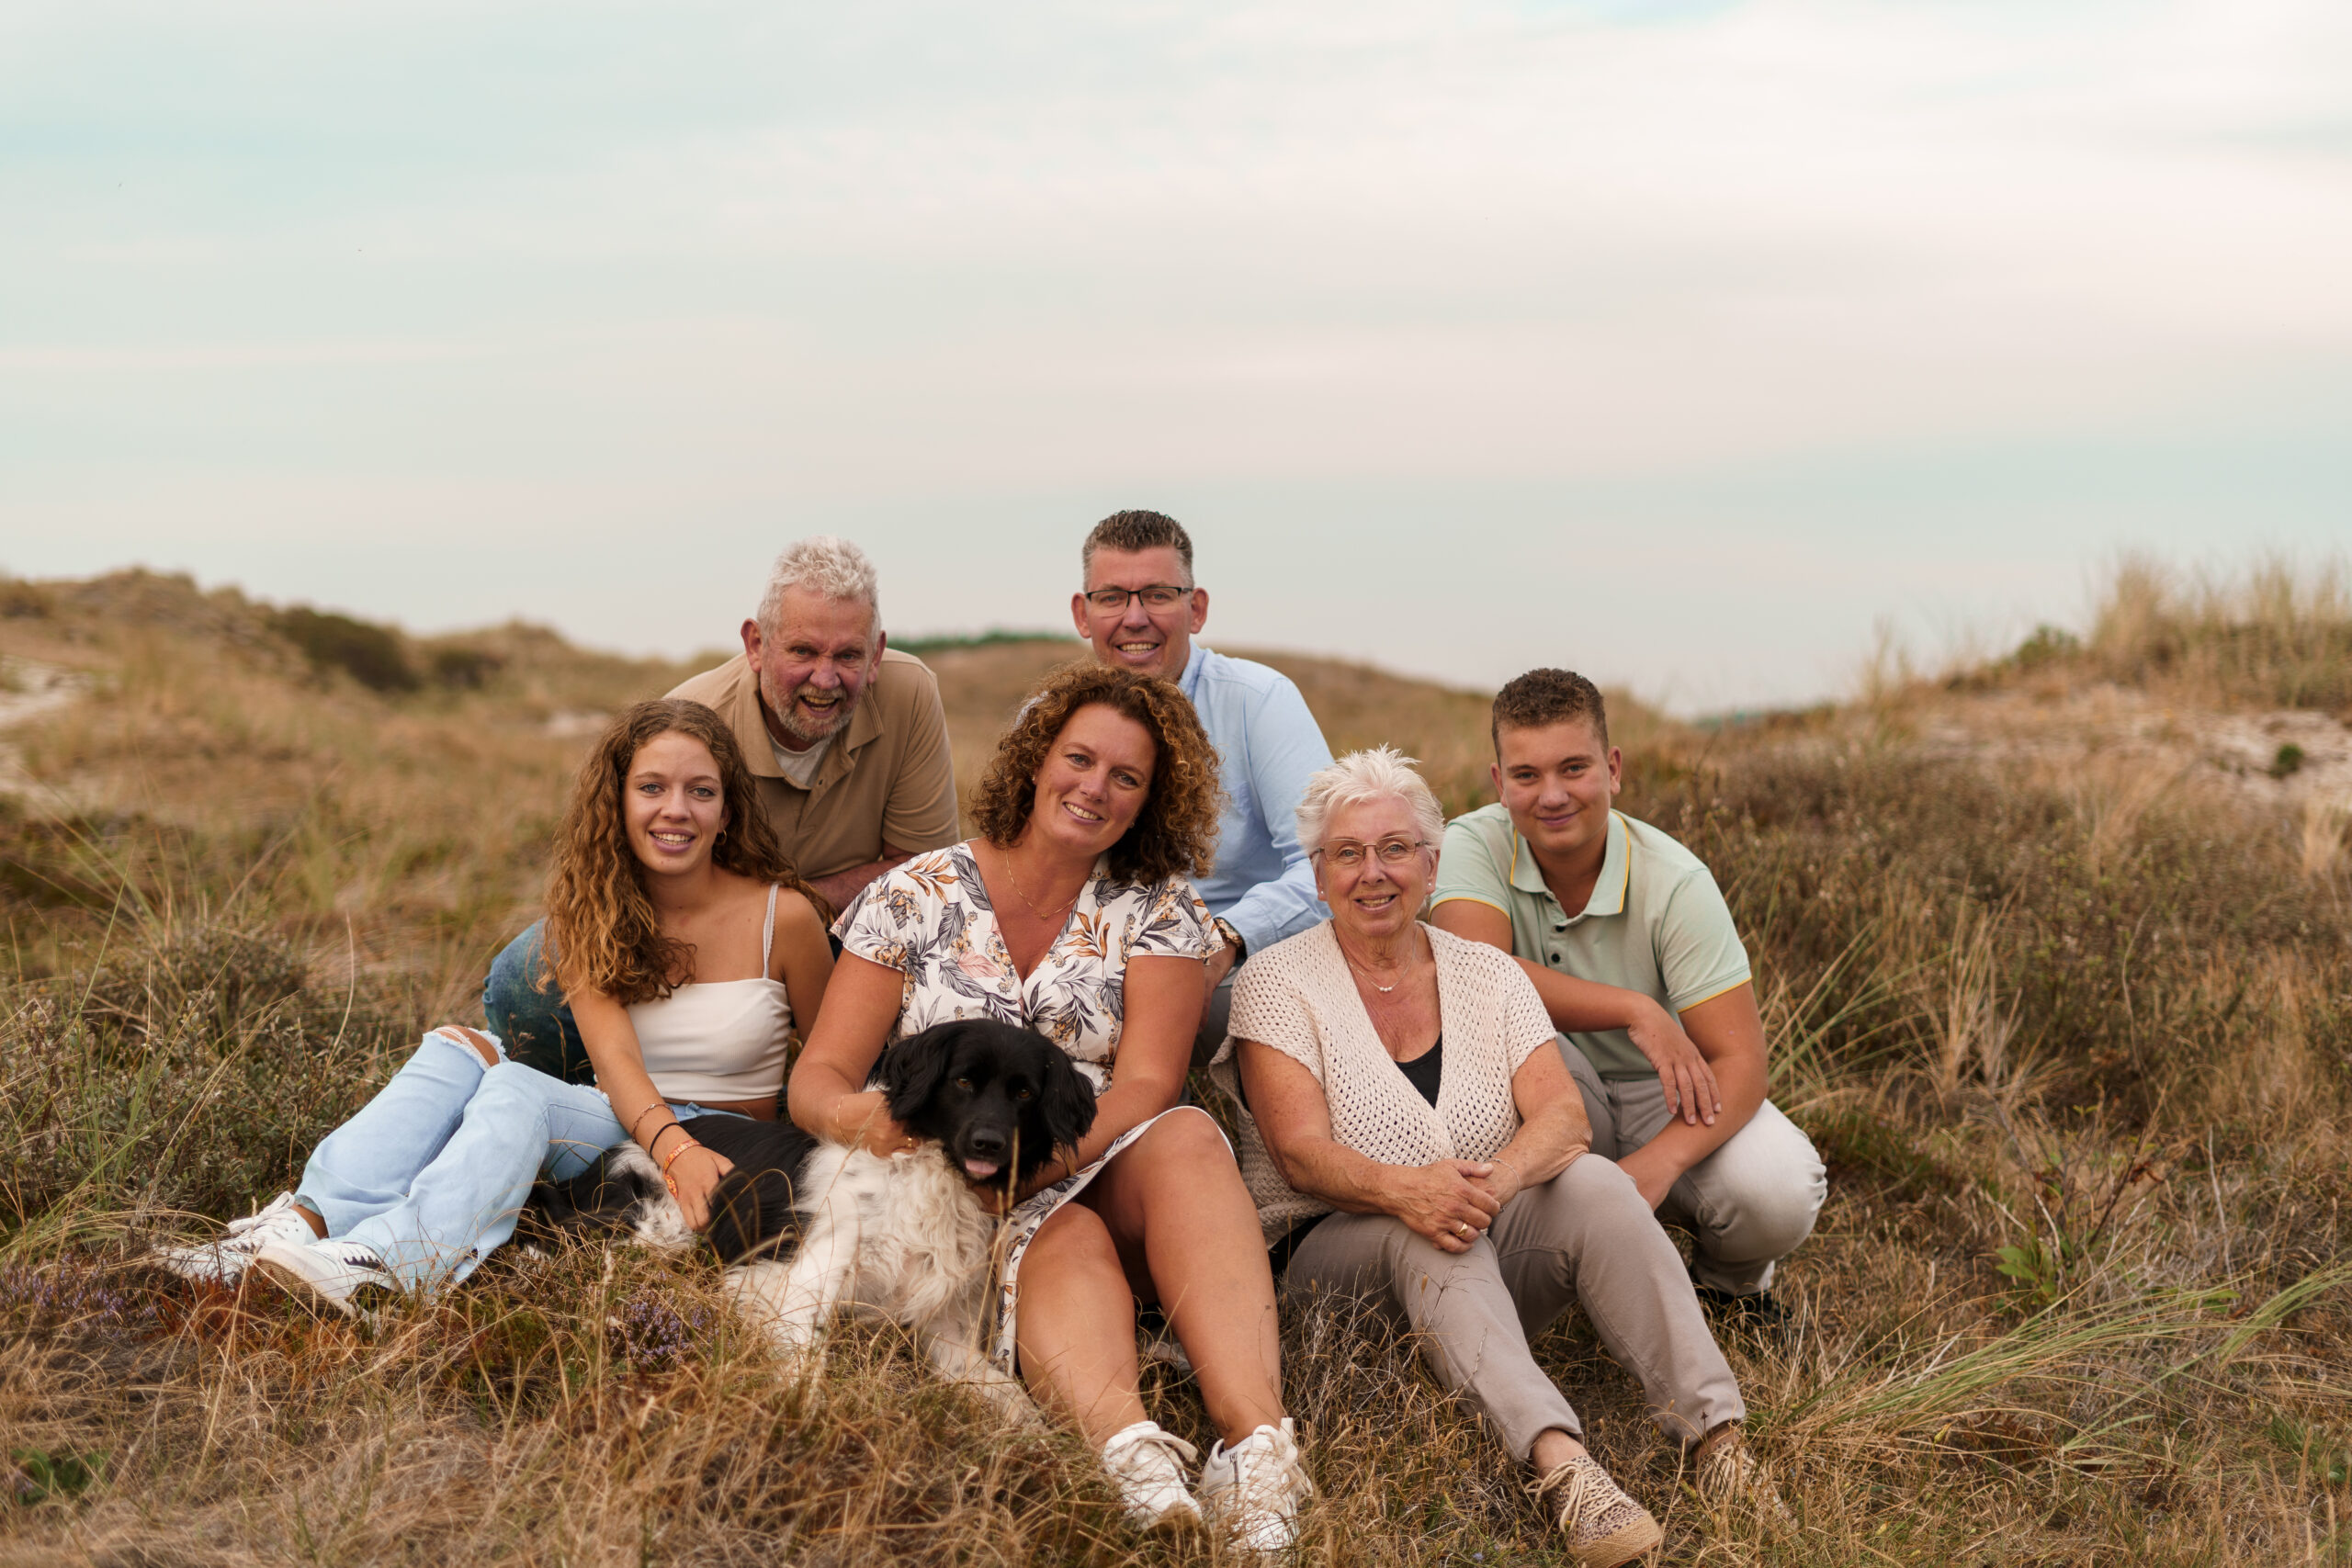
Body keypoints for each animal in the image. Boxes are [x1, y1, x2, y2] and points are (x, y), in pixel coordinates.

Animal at [534, 1024, 1091, 1401]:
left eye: (1024, 1092)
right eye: (963, 1082)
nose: (989, 1143)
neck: (929, 1182)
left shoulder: (943, 1324)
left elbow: (1009, 1398)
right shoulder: (801, 1281)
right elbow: (805, 1368)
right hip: (661, 1227)